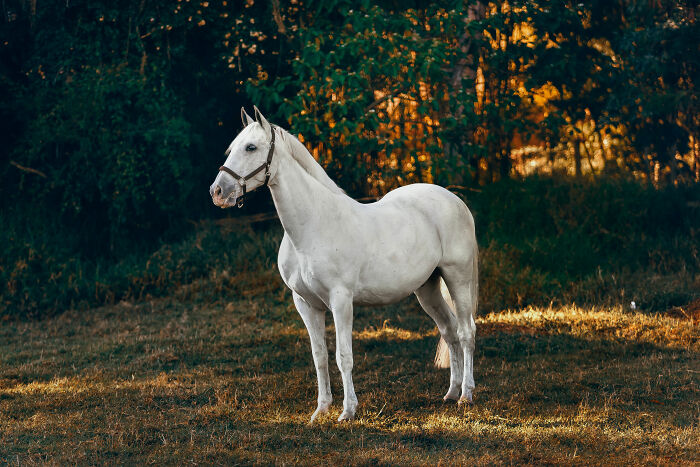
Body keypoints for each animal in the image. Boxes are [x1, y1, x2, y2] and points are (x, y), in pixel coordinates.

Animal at [210, 107, 478, 422]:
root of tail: (455, 200)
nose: (217, 192)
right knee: (449, 331)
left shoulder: (341, 300)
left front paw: (348, 411)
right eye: (231, 149)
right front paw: (321, 410)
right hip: (427, 288)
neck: (313, 225)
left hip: (457, 278)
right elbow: (320, 357)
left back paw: (466, 395)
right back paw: (451, 393)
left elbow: (343, 356)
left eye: (251, 147)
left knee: (466, 331)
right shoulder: (305, 304)